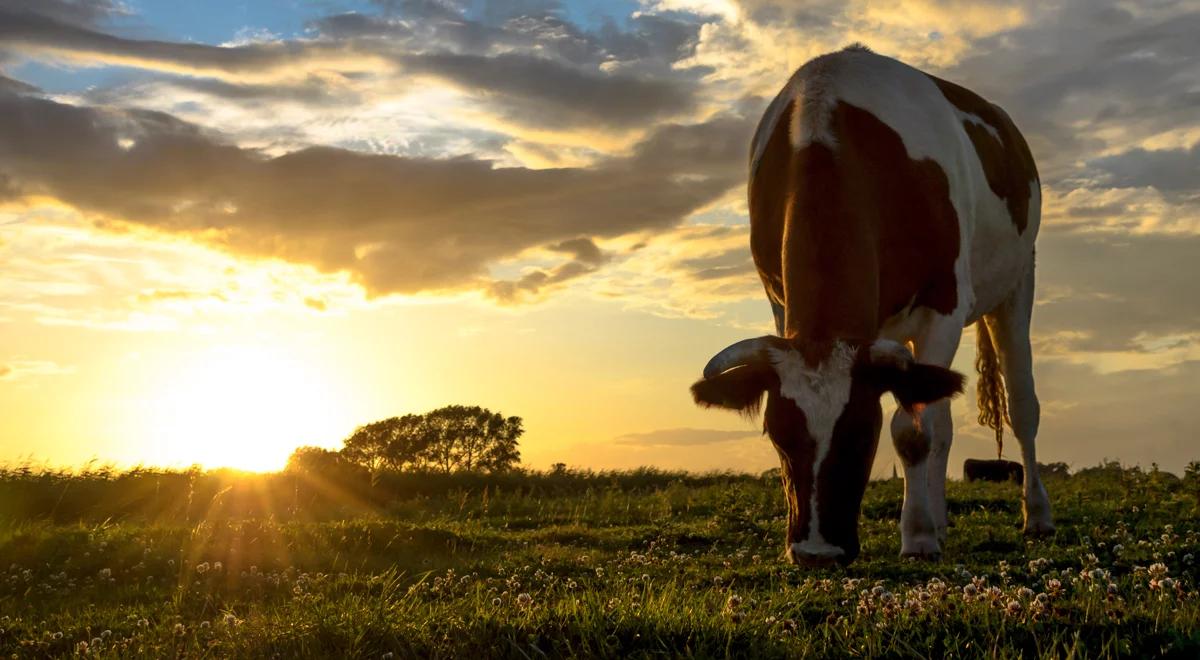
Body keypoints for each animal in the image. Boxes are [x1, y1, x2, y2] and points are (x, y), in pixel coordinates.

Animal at [691, 45, 1056, 568]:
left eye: (862, 432)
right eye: (778, 434)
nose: (816, 551)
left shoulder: (943, 307)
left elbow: (913, 430)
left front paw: (918, 536)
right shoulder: (782, 309)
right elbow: (927, 423)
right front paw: (927, 527)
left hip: (1017, 281)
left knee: (1021, 405)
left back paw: (1037, 515)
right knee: (943, 419)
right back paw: (943, 519)